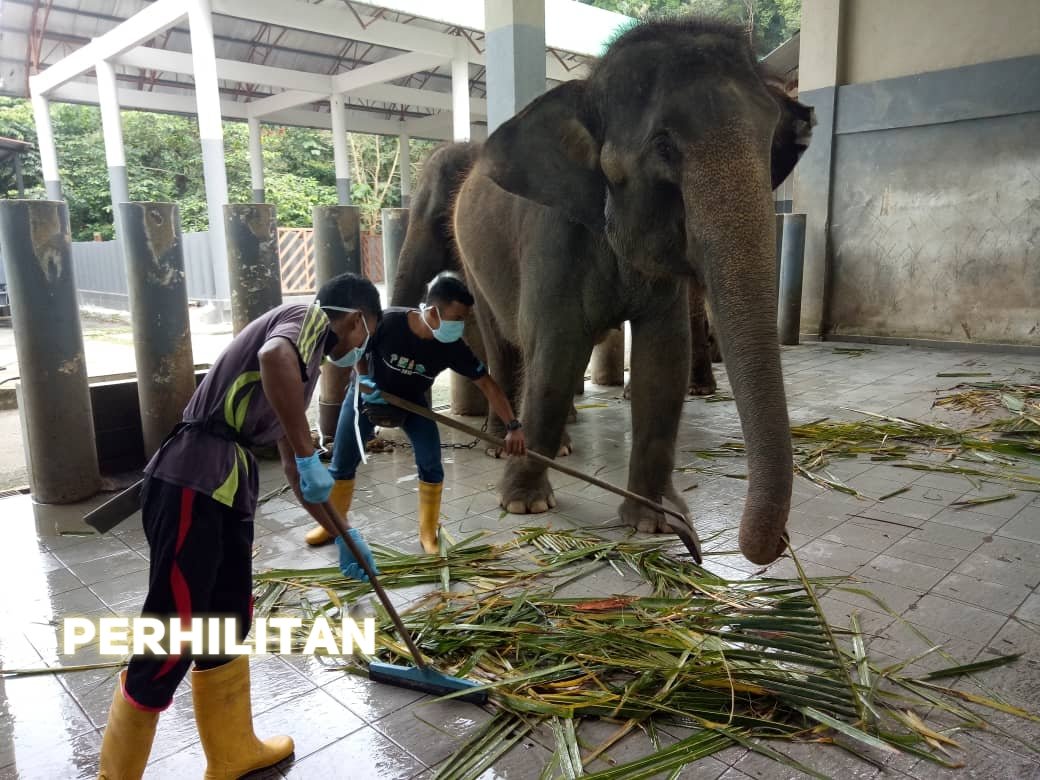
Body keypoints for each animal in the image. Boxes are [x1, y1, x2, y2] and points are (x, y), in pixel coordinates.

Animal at [447, 16, 811, 569]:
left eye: (771, 145)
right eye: (663, 146)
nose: (779, 543)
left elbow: (663, 363)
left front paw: (651, 521)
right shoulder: (552, 240)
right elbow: (554, 352)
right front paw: (524, 505)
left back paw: (566, 442)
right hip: (470, 258)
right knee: (502, 343)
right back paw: (498, 441)